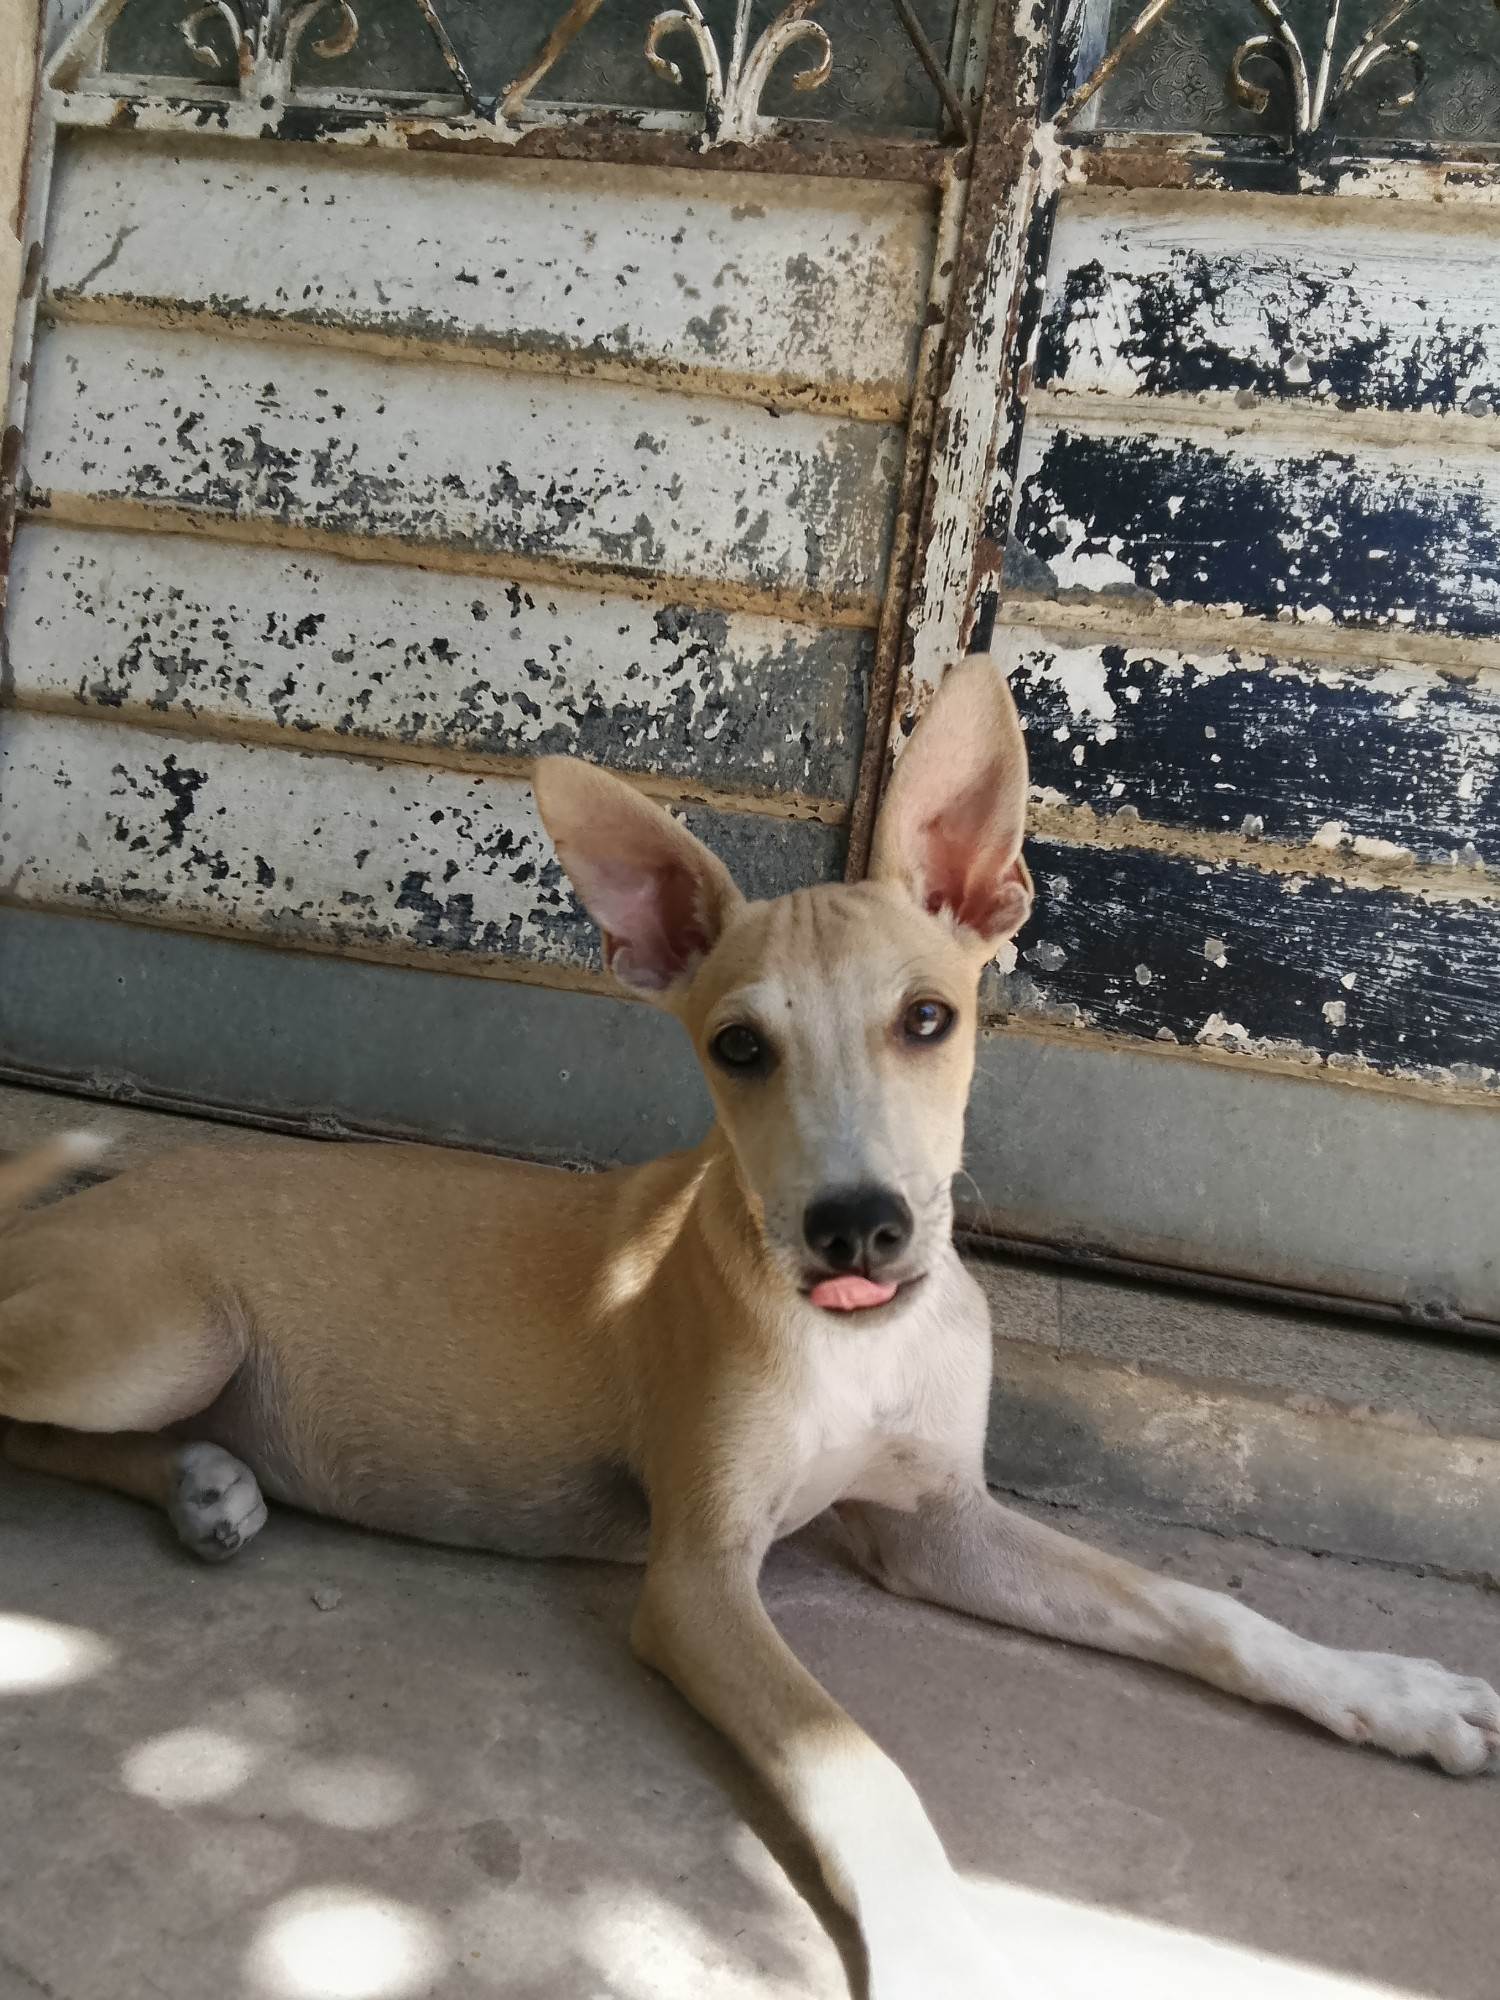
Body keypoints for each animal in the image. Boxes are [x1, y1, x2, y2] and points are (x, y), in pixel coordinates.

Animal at [2, 659, 1496, 1997]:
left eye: (929, 1017)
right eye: (738, 1048)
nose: (858, 1230)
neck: (859, 1346)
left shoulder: (938, 1524)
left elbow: (1199, 1604)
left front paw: (1395, 1693)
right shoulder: (698, 1579)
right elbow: (861, 1769)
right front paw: (943, 1960)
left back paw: (207, 1479)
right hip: (161, 1338)